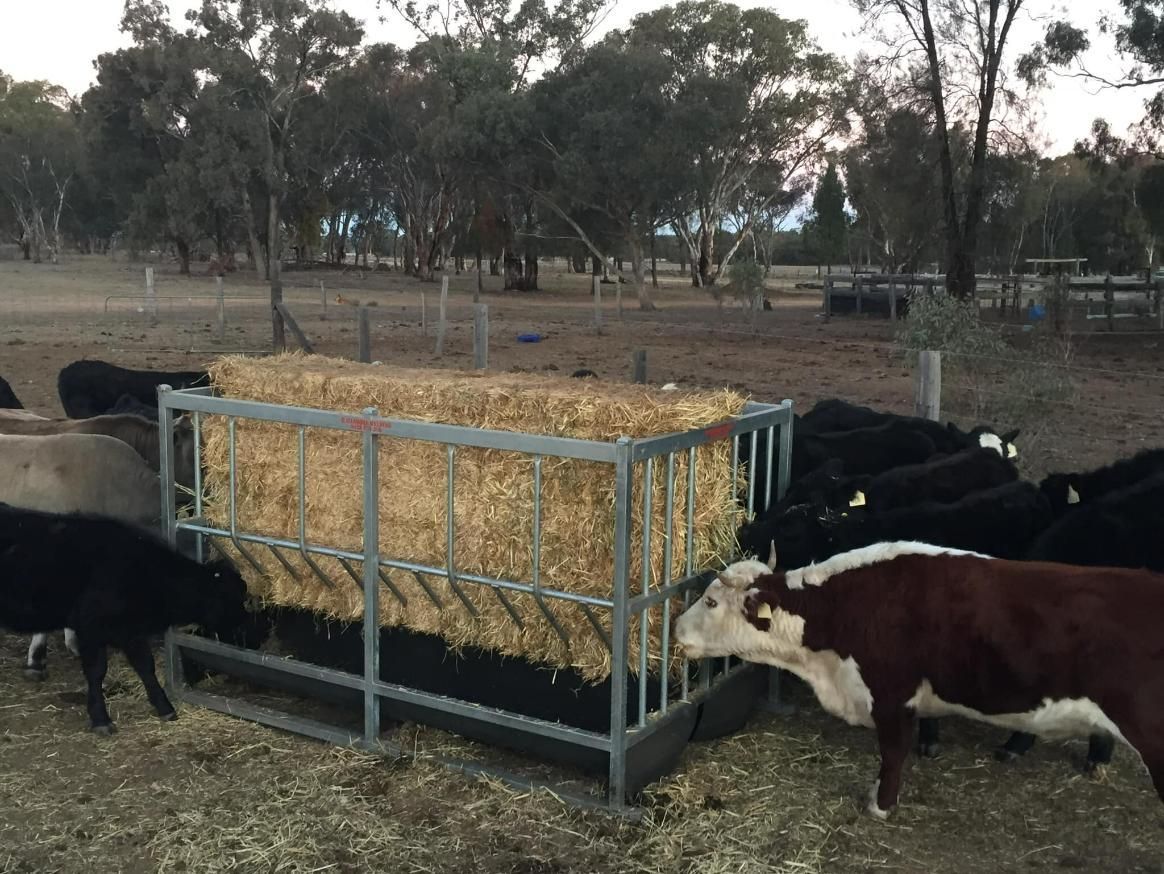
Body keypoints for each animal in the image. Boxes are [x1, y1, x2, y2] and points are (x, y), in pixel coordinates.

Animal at [0, 503, 249, 734]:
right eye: (233, 600)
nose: (244, 627)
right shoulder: (91, 628)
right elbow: (96, 671)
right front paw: (100, 718)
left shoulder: (130, 631)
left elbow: (145, 666)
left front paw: (164, 707)